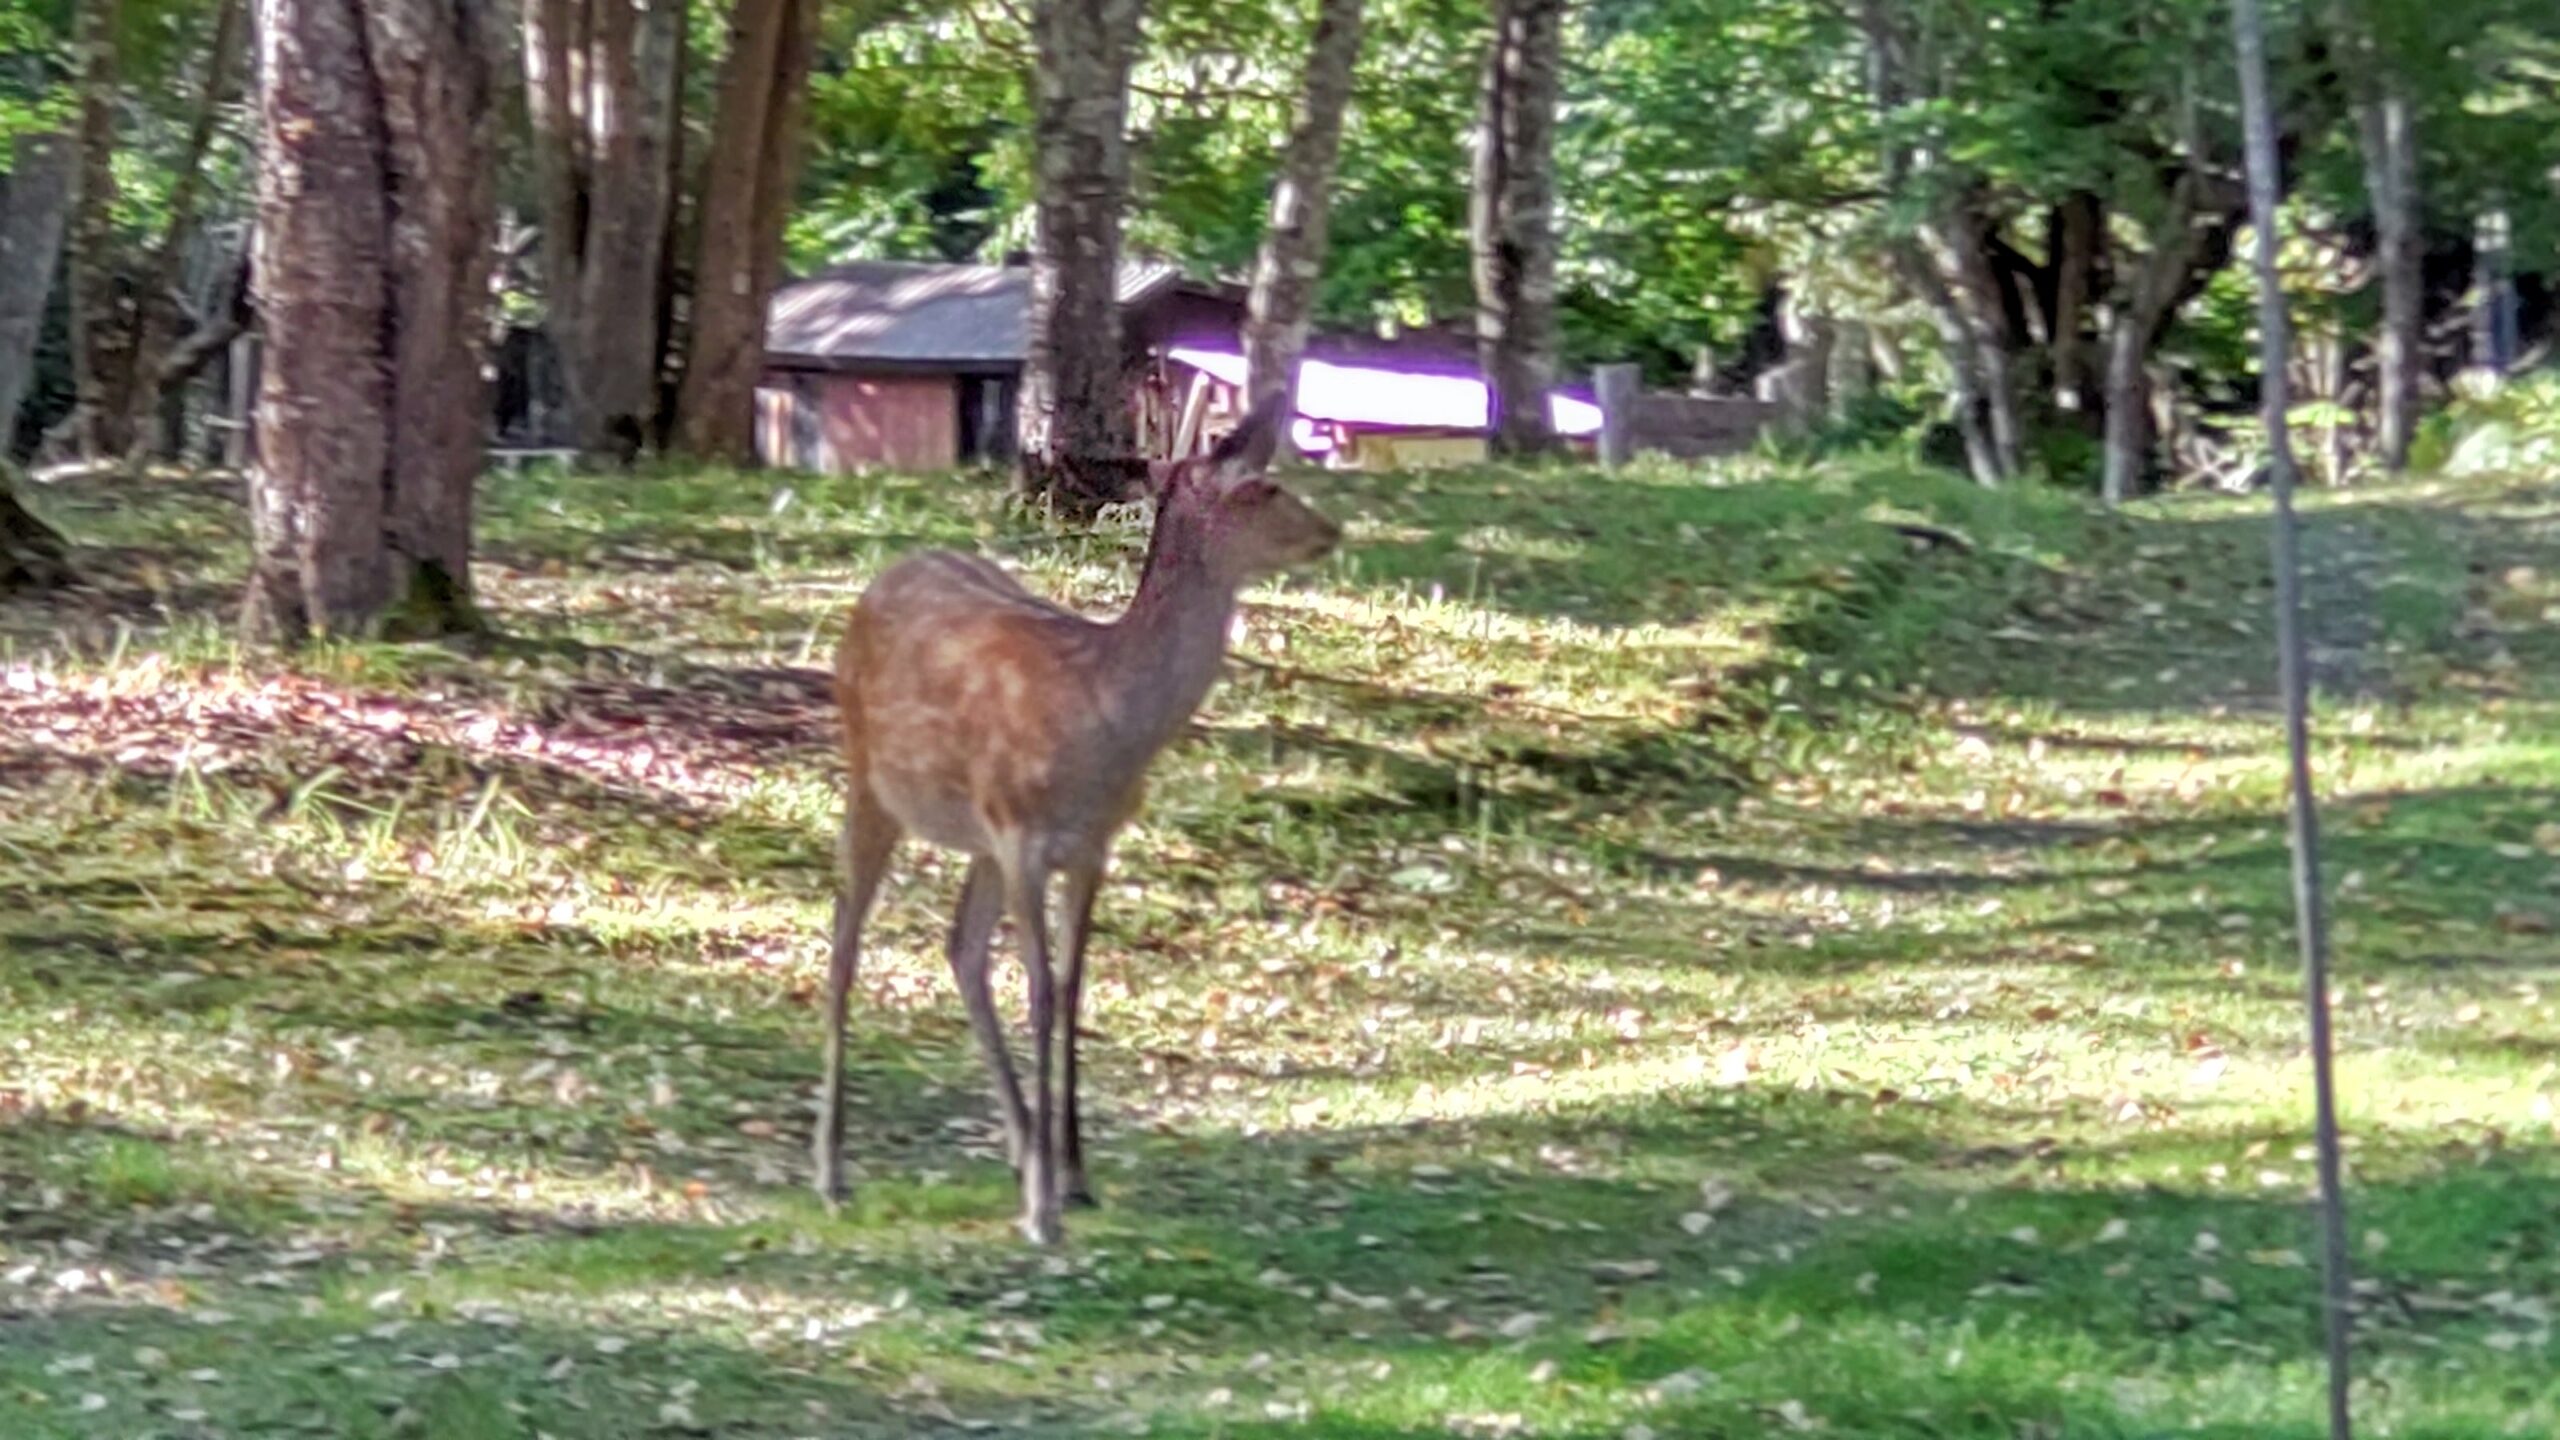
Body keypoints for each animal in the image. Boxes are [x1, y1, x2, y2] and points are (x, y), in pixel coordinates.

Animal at [814, 394, 1341, 1245]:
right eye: (1262, 487)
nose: (1333, 531)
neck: (1106, 723)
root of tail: (884, 575)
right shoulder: (1023, 836)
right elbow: (1038, 993)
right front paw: (1044, 1209)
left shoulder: (1091, 846)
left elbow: (1071, 991)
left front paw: (1073, 1176)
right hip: (872, 778)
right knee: (845, 941)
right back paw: (831, 1170)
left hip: (976, 838)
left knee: (959, 946)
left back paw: (1020, 1143)